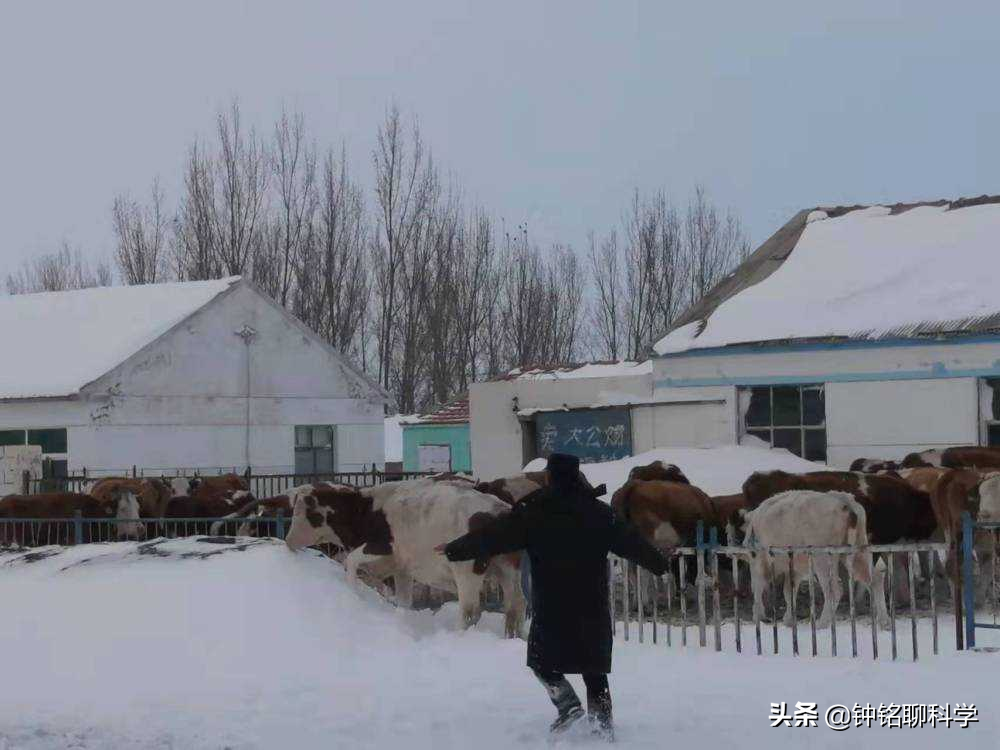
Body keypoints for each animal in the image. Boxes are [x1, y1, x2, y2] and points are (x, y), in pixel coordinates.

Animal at [284, 482, 528, 640]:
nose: (288, 541)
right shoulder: (402, 569)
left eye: (310, 513)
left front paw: (353, 591)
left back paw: (460, 637)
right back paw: (515, 637)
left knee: (470, 609)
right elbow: (403, 601)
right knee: (516, 605)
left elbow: (350, 561)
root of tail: (498, 509)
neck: (363, 511)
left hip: (466, 569)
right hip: (507, 568)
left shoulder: (382, 546)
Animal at [744, 490, 892, 632]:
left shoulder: (760, 563)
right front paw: (788, 620)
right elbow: (789, 591)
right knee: (875, 578)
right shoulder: (795, 568)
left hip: (822, 558)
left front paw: (758, 616)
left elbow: (758, 586)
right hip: (858, 550)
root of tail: (845, 502)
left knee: (834, 590)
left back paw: (821, 624)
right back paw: (884, 623)